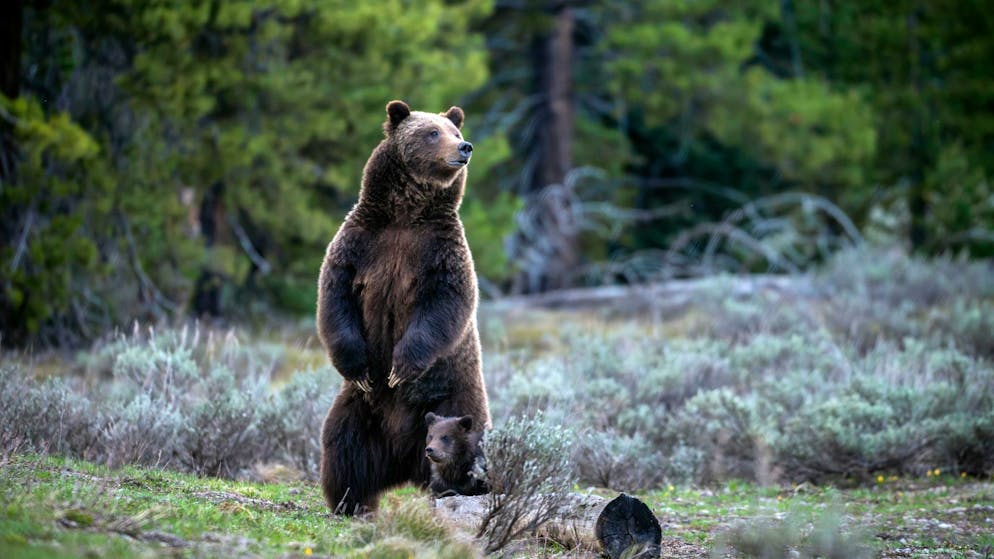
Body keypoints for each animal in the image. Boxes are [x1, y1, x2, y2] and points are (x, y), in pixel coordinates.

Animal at [317, 100, 491, 515]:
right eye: (432, 132)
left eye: (455, 132)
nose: (465, 148)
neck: (406, 214)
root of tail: (404, 459)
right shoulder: (361, 243)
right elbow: (335, 297)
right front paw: (360, 367)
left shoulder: (440, 252)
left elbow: (445, 304)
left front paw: (401, 367)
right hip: (361, 411)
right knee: (344, 447)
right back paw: (350, 502)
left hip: (454, 399)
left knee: (467, 446)